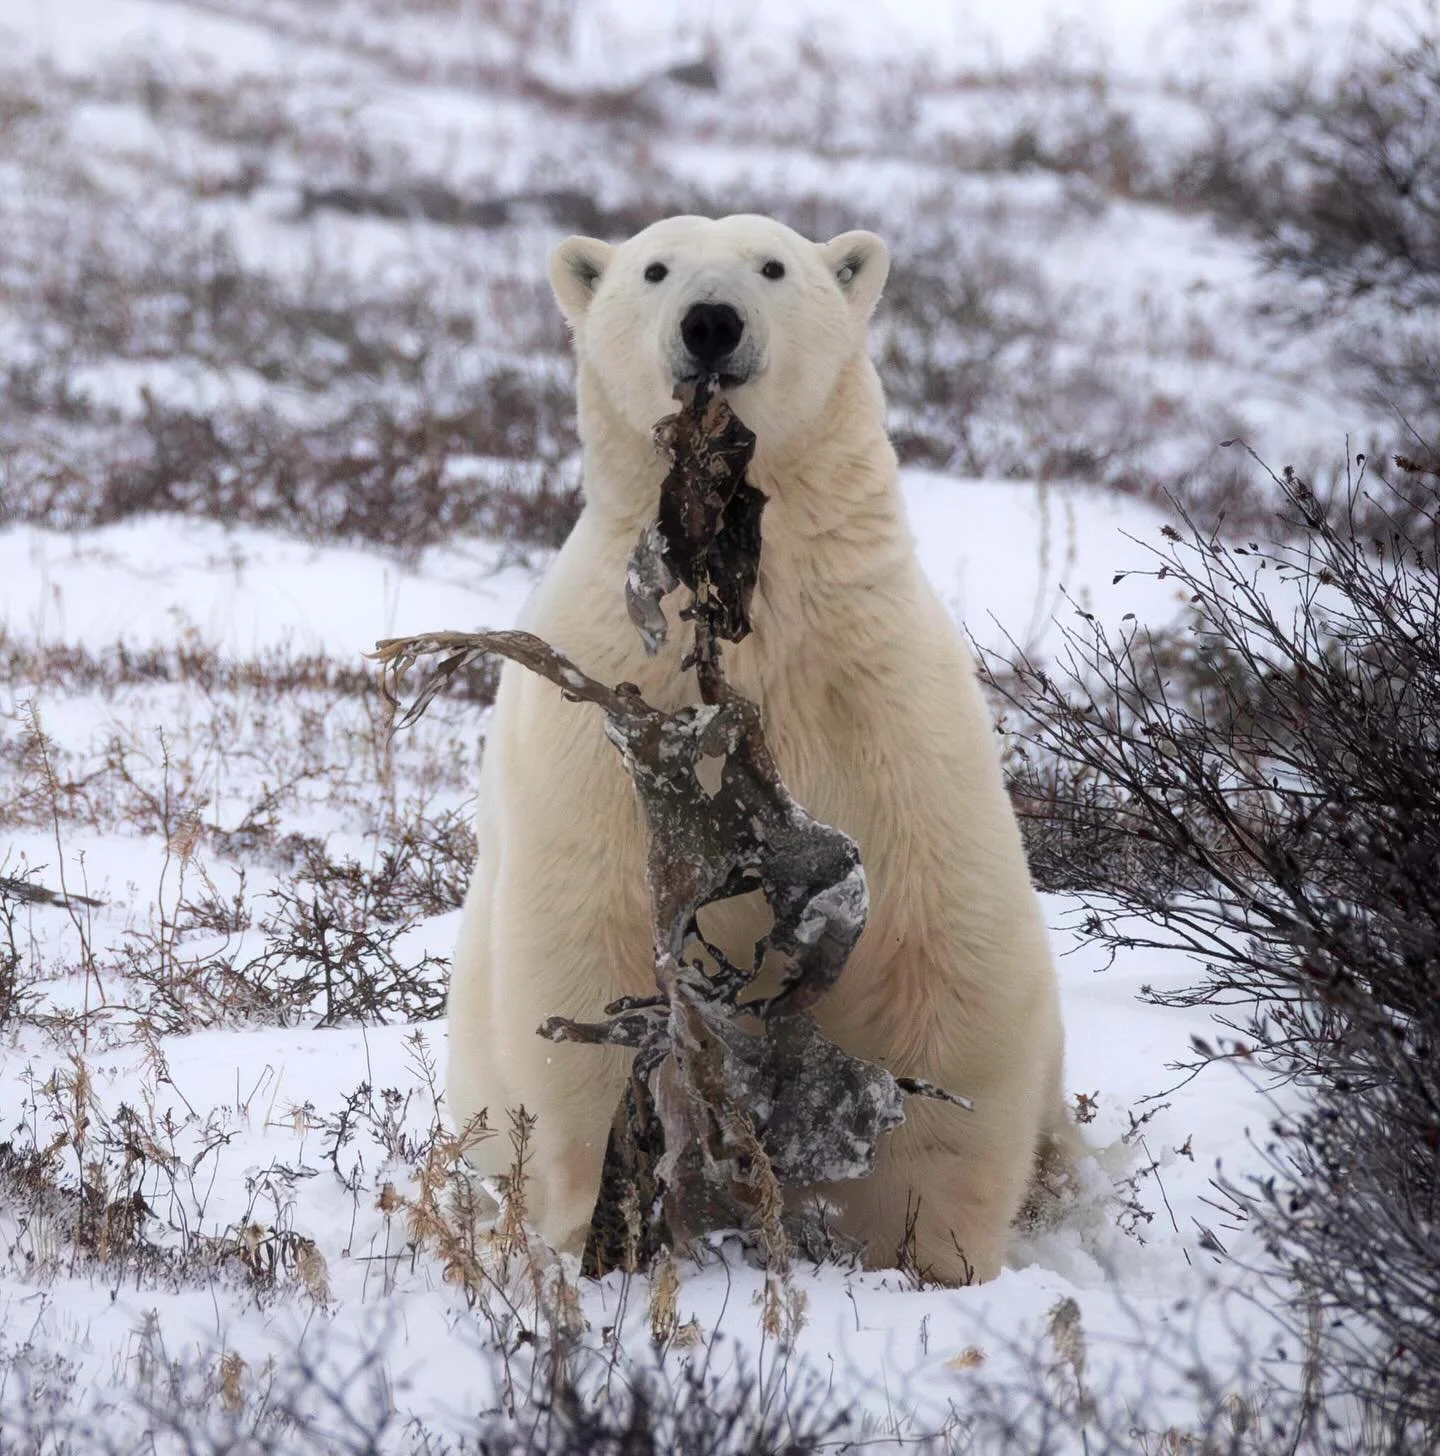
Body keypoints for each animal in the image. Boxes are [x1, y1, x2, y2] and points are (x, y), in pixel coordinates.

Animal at [446, 213, 1078, 1285]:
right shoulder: (615, 717)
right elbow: (594, 951)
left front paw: (929, 1255)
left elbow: (945, 961)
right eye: (655, 268)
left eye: (774, 266)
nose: (711, 322)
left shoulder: (885, 704)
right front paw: (610, 1217)